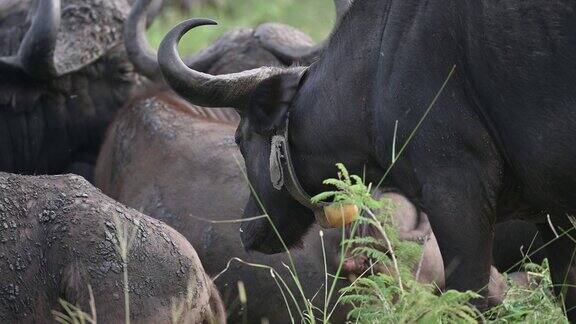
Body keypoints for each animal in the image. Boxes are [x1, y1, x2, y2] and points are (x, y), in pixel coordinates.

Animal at [156, 0, 576, 318]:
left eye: (240, 139)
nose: (248, 231)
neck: (377, 68)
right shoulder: (555, 218)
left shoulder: (459, 201)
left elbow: (472, 299)